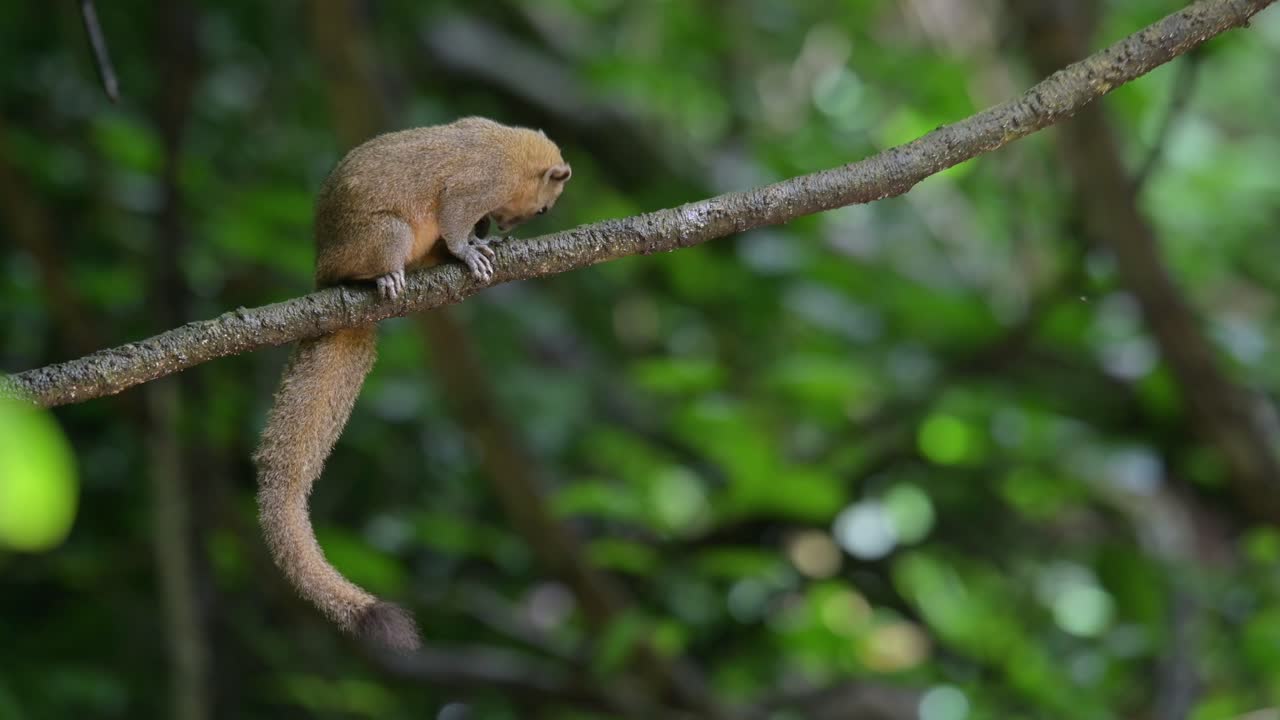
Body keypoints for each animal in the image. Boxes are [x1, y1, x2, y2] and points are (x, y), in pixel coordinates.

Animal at [253, 117, 571, 651]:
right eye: (543, 207)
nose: (507, 228)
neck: (511, 149)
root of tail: (322, 272)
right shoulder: (478, 186)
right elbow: (456, 213)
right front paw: (471, 248)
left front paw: (484, 244)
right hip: (386, 234)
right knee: (376, 259)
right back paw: (386, 278)